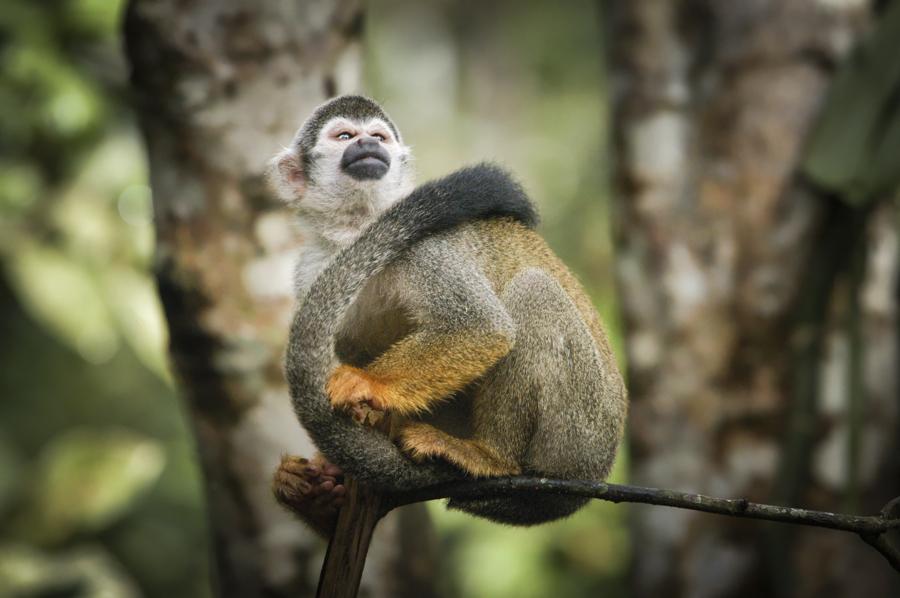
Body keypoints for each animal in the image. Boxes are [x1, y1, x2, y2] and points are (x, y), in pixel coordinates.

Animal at [268, 96, 624, 536]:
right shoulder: (309, 268)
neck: (357, 229)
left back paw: (491, 456)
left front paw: (368, 383)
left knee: (533, 292)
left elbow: (481, 326)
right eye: (345, 136)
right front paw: (321, 494)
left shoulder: (426, 246)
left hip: (580, 431)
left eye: (378, 136)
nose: (368, 145)